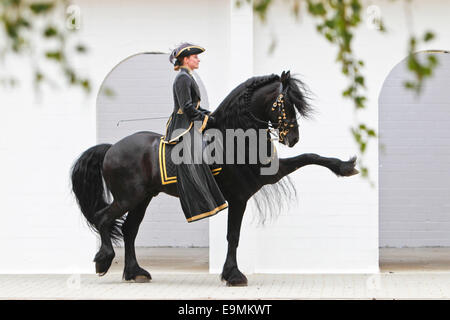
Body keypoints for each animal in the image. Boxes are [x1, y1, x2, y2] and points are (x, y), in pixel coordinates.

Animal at [70, 71, 358, 286]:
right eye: (286, 103)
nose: (293, 138)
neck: (237, 138)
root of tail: (111, 148)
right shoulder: (240, 196)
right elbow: (234, 235)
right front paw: (234, 275)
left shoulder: (271, 173)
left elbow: (310, 156)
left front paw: (345, 166)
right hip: (129, 197)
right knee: (104, 219)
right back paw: (103, 260)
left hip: (142, 198)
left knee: (130, 230)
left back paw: (135, 272)